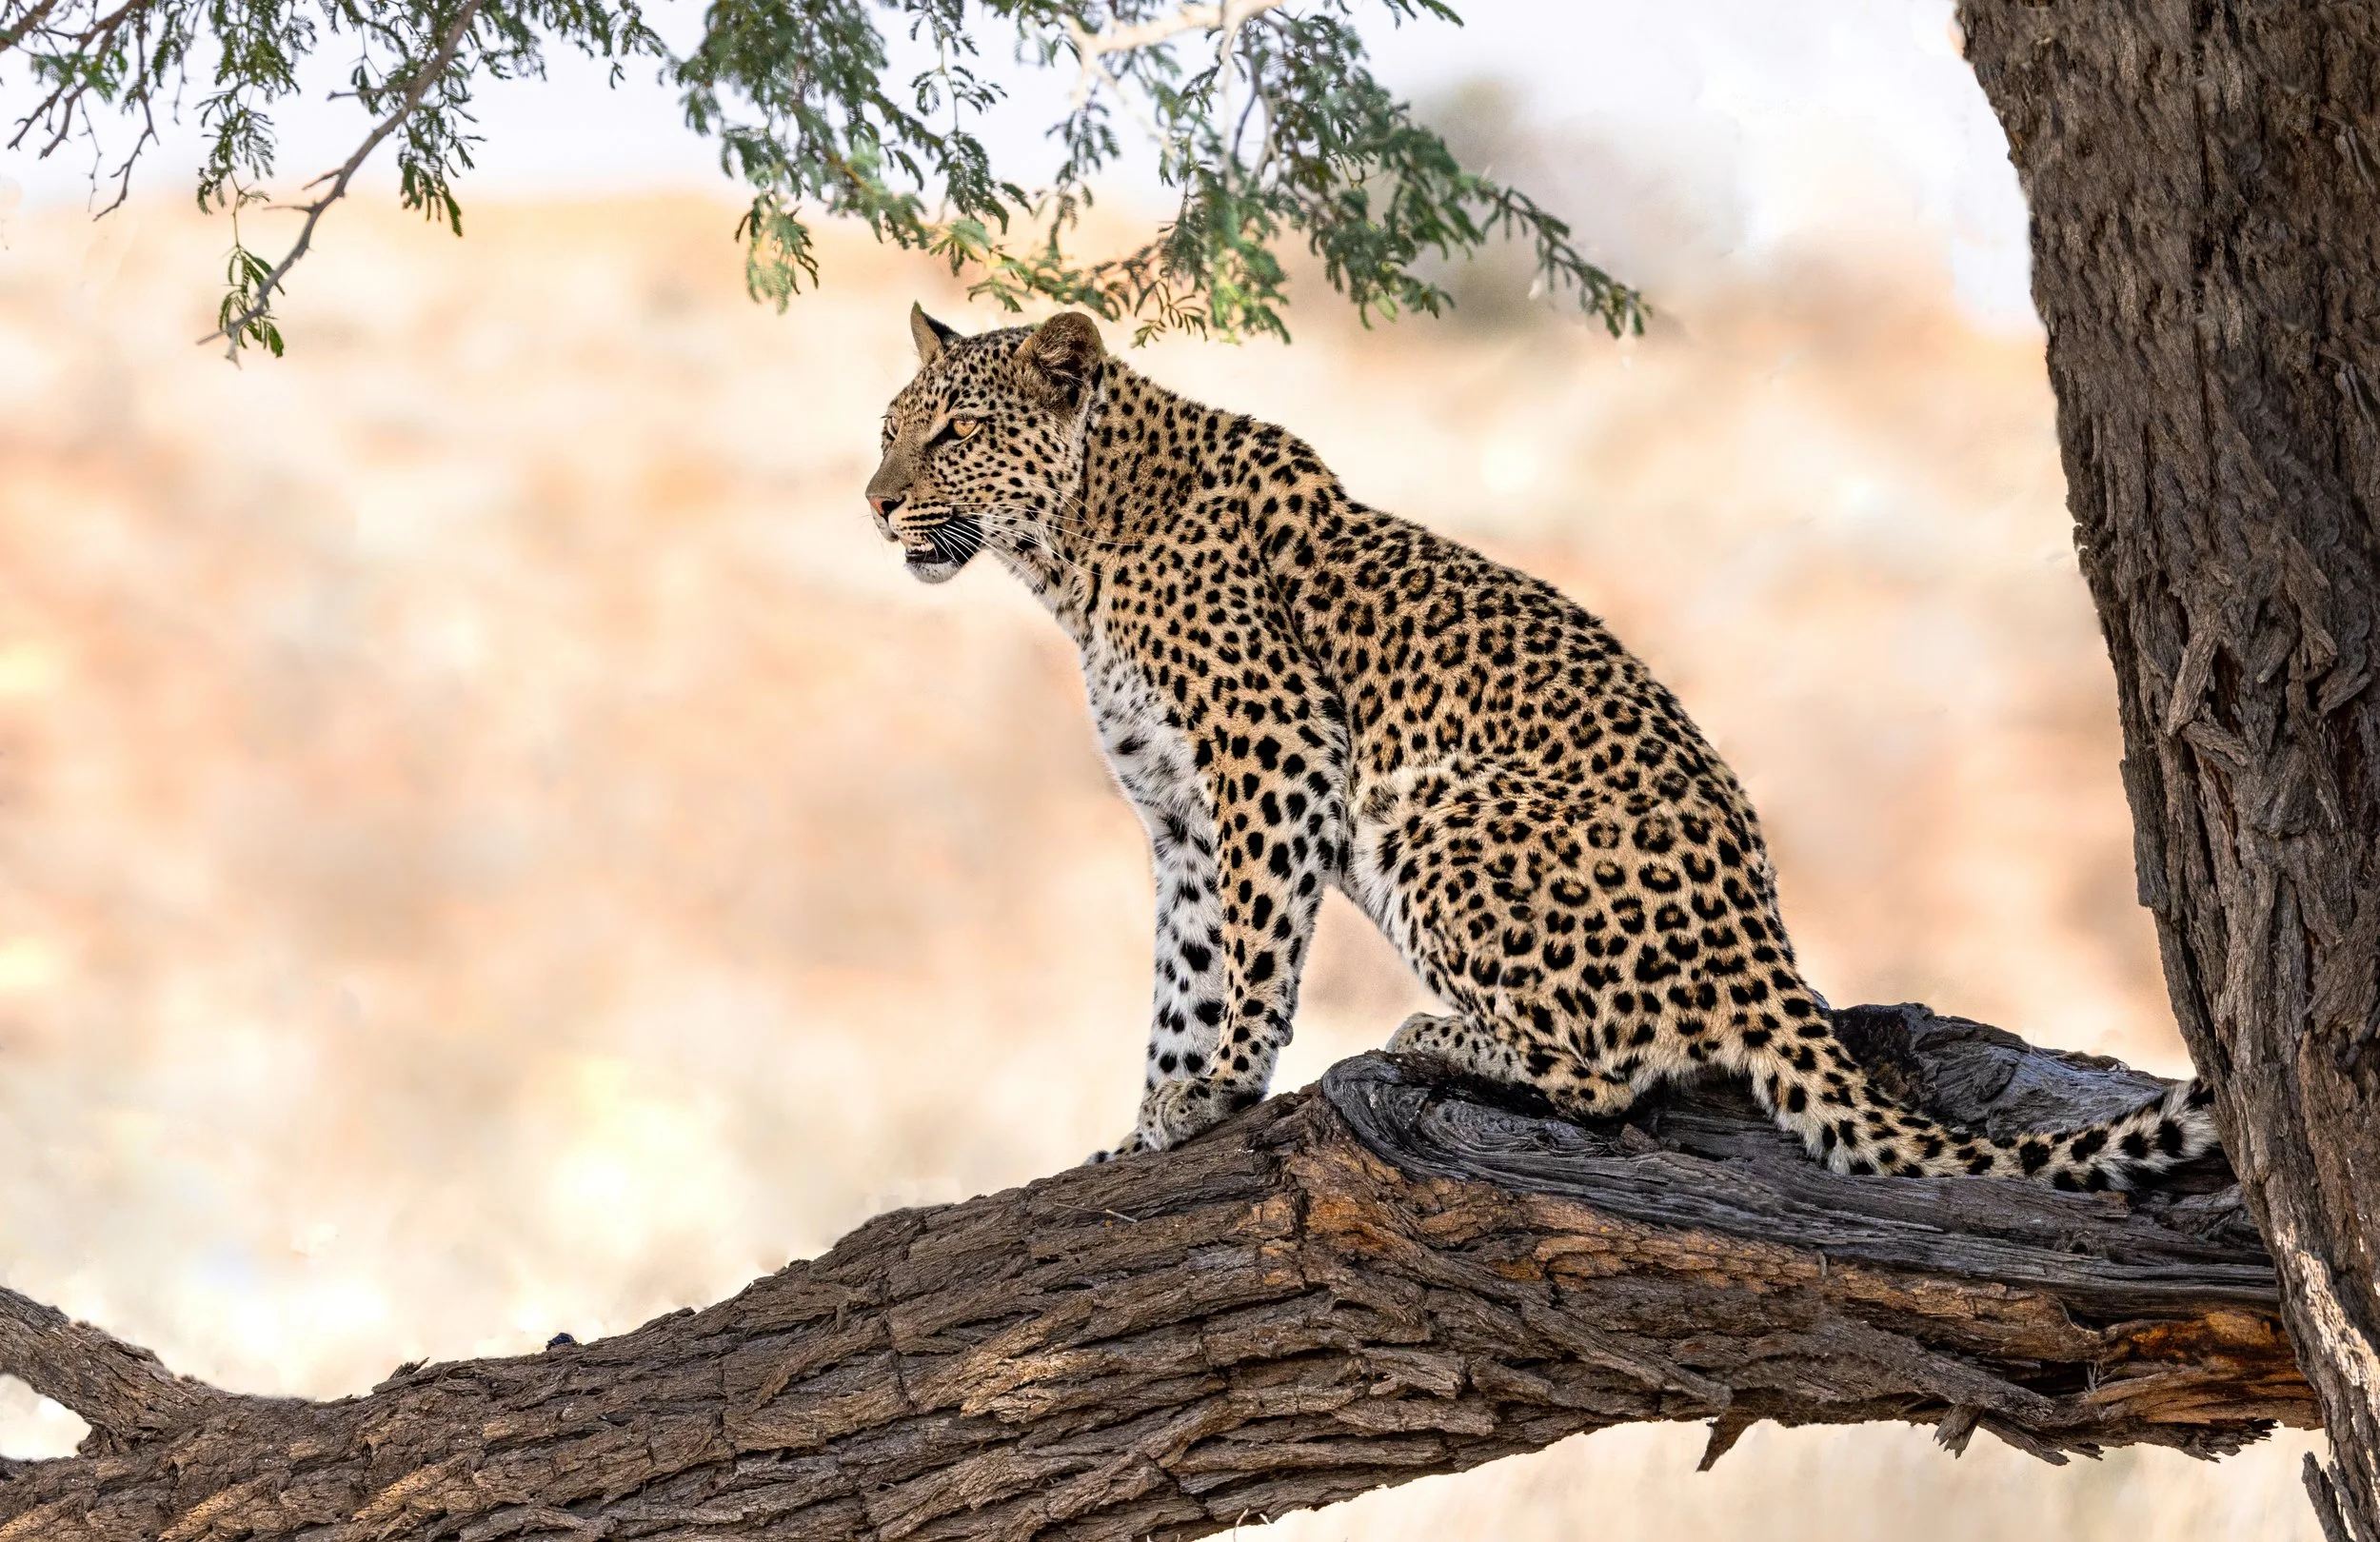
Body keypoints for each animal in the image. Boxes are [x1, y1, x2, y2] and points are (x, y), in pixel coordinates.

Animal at [863, 303, 2220, 1190]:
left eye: (949, 437)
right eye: (889, 429)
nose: (873, 503)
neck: (1073, 551)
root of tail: (1766, 951)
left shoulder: (1276, 757)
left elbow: (1249, 959)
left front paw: (1219, 1088)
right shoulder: (1184, 816)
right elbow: (1181, 975)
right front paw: (1145, 1114)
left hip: (1436, 813)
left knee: (1608, 1074)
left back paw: (1432, 1035)